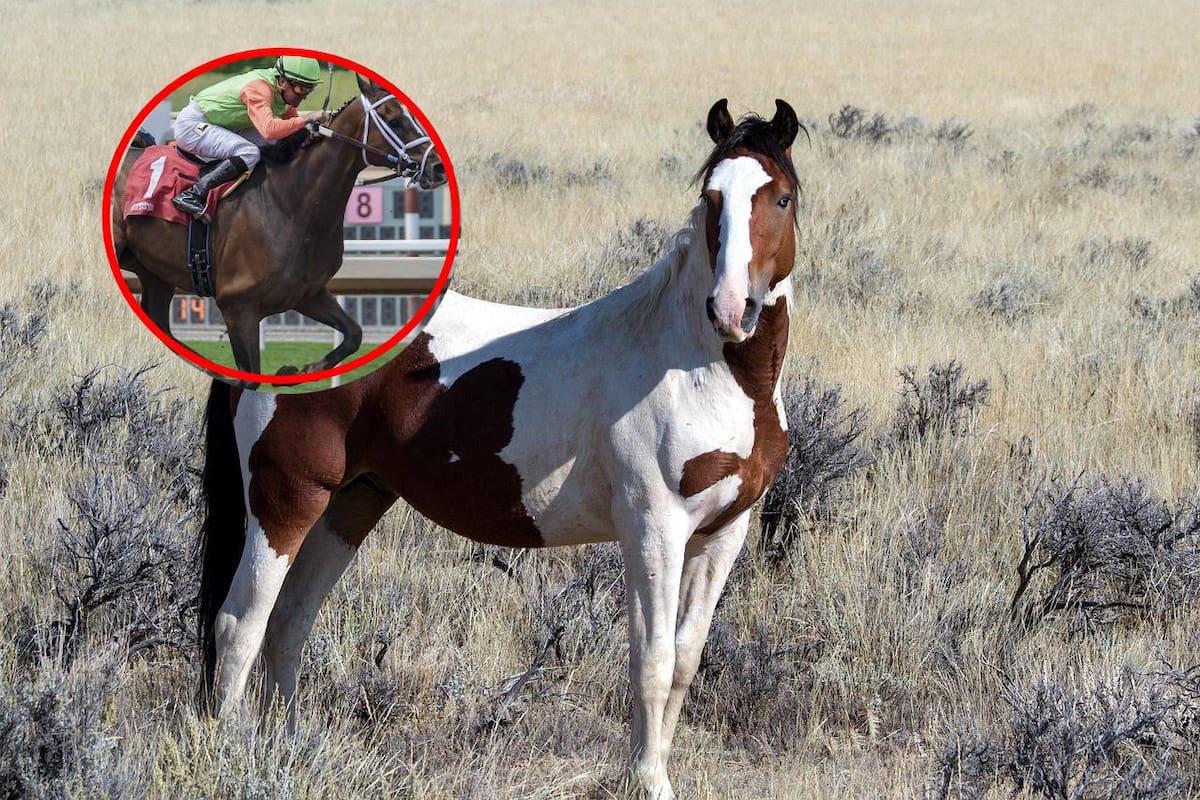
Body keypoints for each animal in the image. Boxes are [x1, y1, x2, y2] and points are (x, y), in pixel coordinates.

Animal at [110, 74, 447, 377]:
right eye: (394, 119)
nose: (437, 168)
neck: (288, 205)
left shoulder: (307, 294)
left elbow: (354, 334)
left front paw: (302, 369)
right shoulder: (238, 309)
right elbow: (249, 376)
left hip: (155, 273)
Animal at [198, 98, 801, 799]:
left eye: (781, 197)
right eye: (712, 199)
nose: (733, 309)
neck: (697, 364)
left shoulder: (722, 532)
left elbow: (682, 659)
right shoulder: (654, 528)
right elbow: (649, 660)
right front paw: (649, 781)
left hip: (350, 504)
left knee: (289, 623)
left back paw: (289, 750)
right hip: (285, 501)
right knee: (240, 625)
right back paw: (230, 759)